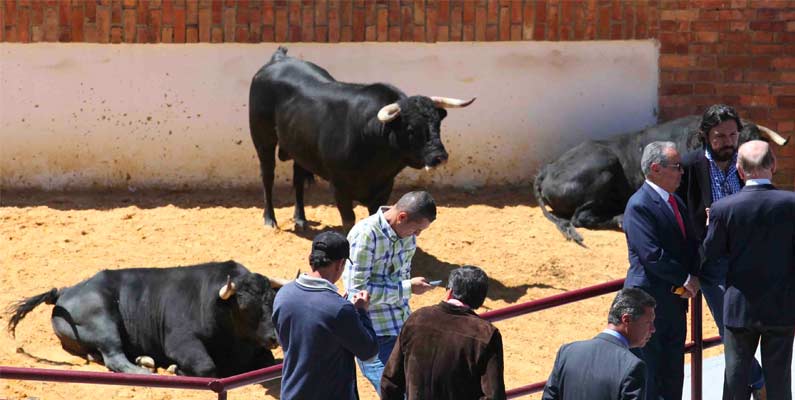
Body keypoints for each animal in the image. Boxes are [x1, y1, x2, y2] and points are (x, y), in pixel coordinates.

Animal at [7, 260, 290, 376]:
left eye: (271, 301)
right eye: (246, 306)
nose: (273, 337)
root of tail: (66, 290)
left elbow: (266, 359)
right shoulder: (180, 342)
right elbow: (207, 367)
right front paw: (176, 369)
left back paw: (143, 360)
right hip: (104, 323)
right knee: (115, 358)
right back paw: (145, 369)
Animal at [249, 46, 472, 228]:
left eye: (437, 124)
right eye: (410, 129)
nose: (439, 157)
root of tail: (278, 59)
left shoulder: (384, 186)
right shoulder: (339, 188)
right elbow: (349, 220)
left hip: (299, 148)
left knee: (298, 179)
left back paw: (300, 219)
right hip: (263, 140)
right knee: (267, 176)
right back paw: (270, 219)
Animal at [532, 115, 788, 247]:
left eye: (756, 140)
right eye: (731, 139)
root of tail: (547, 169)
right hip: (604, 165)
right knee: (581, 216)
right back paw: (620, 219)